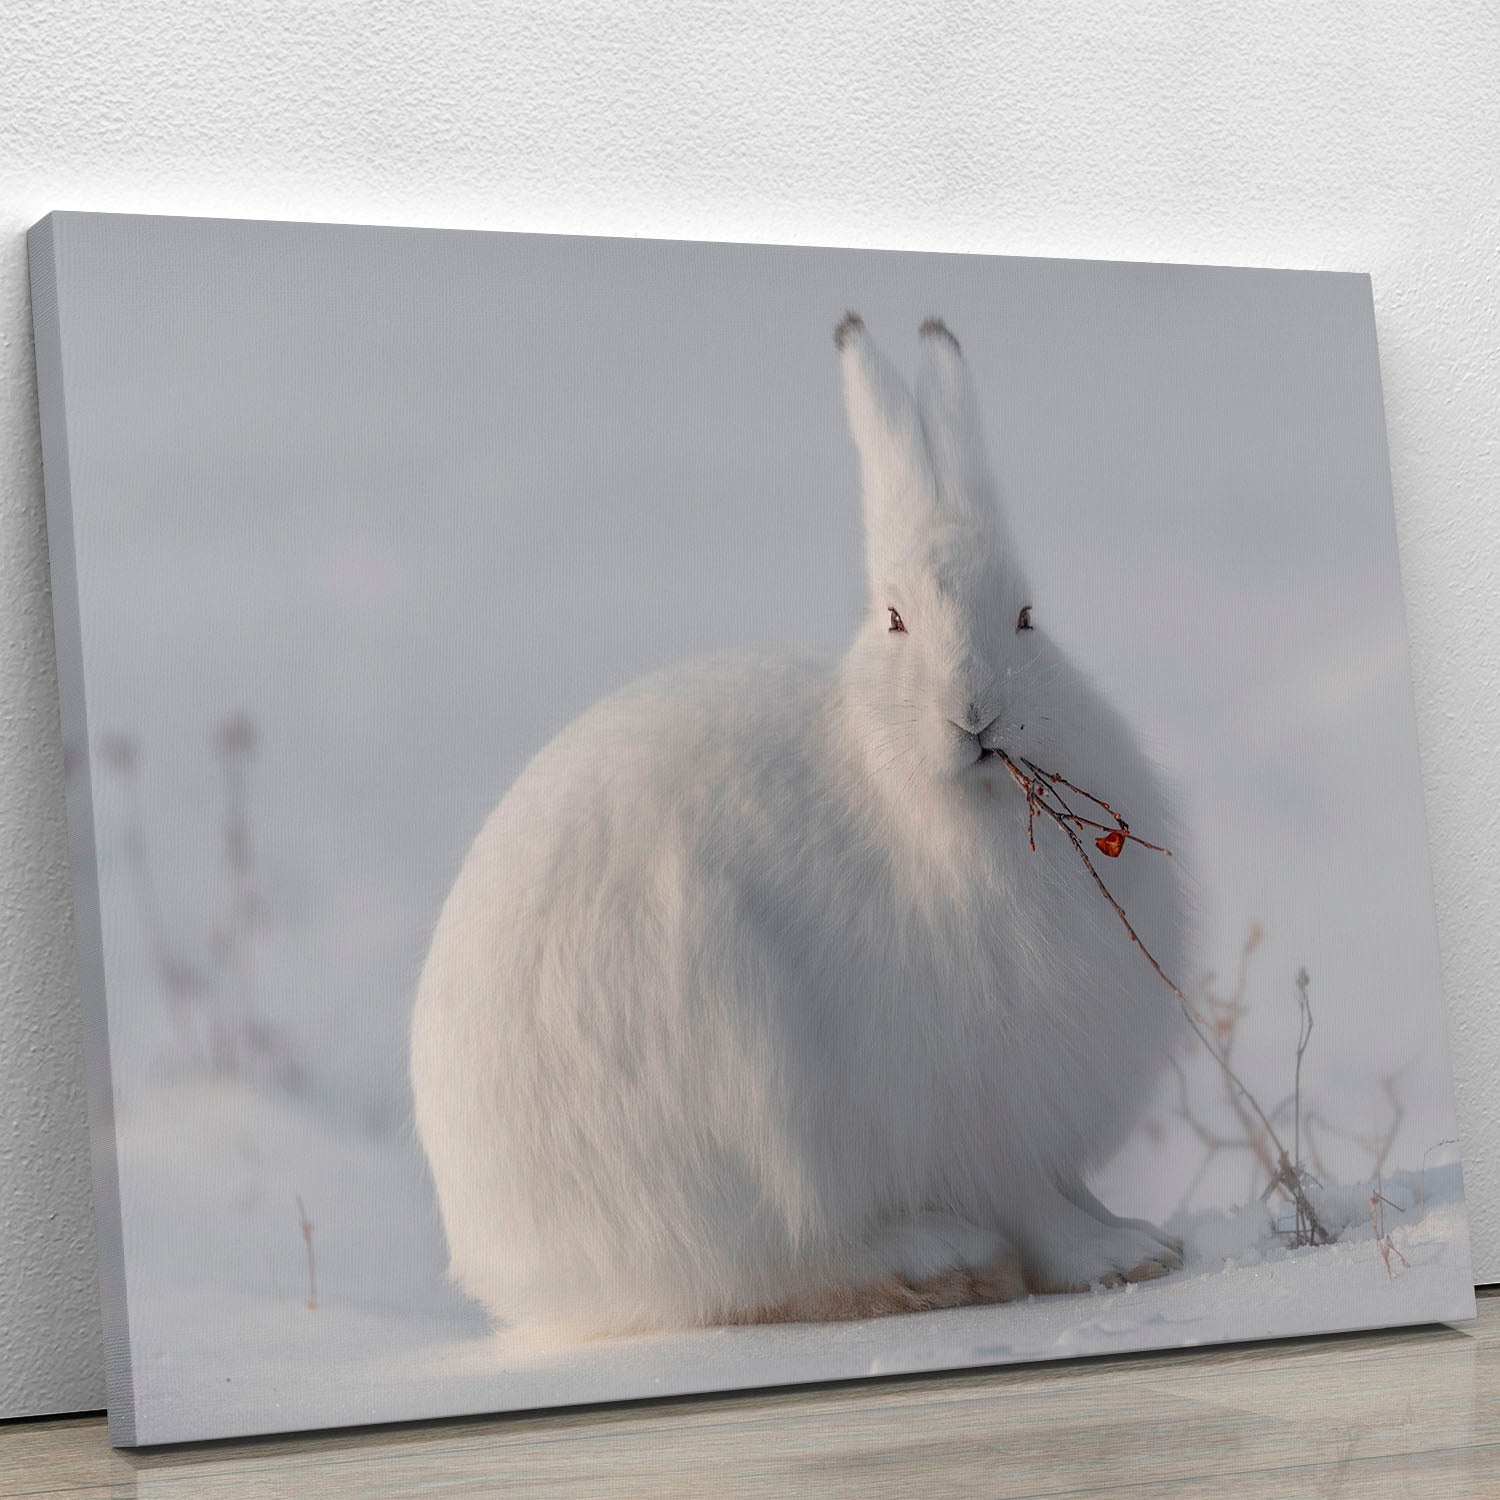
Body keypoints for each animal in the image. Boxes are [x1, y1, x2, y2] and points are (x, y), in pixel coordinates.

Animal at [410, 313, 1191, 1343]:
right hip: (736, 1095)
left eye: (1027, 618)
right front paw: (1112, 1262)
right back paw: (938, 1255)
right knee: (775, 1268)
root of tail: (504, 1262)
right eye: (896, 620)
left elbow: (1071, 1191)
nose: (976, 714)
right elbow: (1034, 1205)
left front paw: (1143, 1240)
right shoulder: (974, 1108)